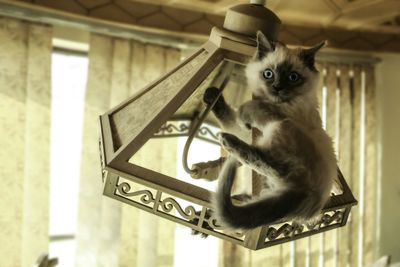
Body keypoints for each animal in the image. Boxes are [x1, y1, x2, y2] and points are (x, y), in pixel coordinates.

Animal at [203, 31, 338, 230]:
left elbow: (246, 109)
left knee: (268, 163)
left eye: (293, 77)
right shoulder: (249, 131)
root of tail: (310, 198)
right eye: (268, 74)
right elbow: (231, 119)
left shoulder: (277, 115)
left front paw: (242, 112)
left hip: (283, 129)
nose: (277, 87)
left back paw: (228, 142)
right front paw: (212, 96)